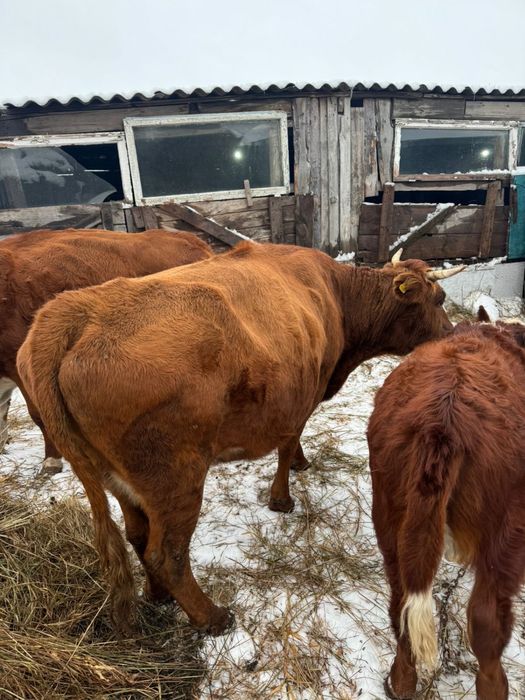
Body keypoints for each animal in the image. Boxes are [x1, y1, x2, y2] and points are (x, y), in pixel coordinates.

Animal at [17, 242, 463, 637]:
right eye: (439, 299)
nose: (452, 336)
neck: (336, 293)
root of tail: (71, 313)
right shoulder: (301, 393)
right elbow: (288, 442)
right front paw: (283, 496)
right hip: (176, 479)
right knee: (167, 555)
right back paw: (212, 618)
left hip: (117, 480)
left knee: (138, 538)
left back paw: (159, 596)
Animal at [367, 319, 525, 700]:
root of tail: (444, 420)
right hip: (507, 532)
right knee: (486, 620)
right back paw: (495, 686)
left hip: (389, 512)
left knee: (401, 603)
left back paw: (401, 681)